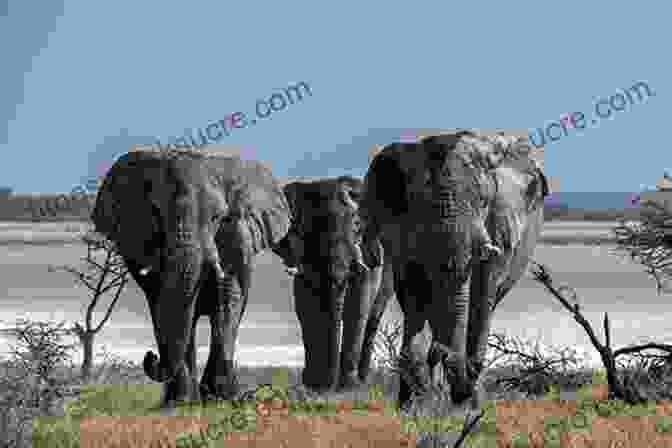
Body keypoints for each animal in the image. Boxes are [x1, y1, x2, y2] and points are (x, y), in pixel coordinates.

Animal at [90, 149, 290, 408]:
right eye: (158, 215)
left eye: (218, 218)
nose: (151, 356)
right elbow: (163, 307)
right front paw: (180, 403)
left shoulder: (238, 236)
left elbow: (227, 300)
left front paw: (219, 399)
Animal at [270, 176, 394, 392]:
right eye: (313, 229)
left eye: (356, 227)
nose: (330, 387)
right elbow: (307, 309)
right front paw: (313, 385)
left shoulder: (369, 252)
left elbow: (358, 309)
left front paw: (348, 388)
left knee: (372, 319)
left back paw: (363, 382)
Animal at [364, 130, 548, 410]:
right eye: (422, 204)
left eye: (483, 201)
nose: (446, 354)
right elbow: (414, 290)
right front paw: (414, 404)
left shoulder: (499, 227)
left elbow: (482, 293)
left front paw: (469, 403)